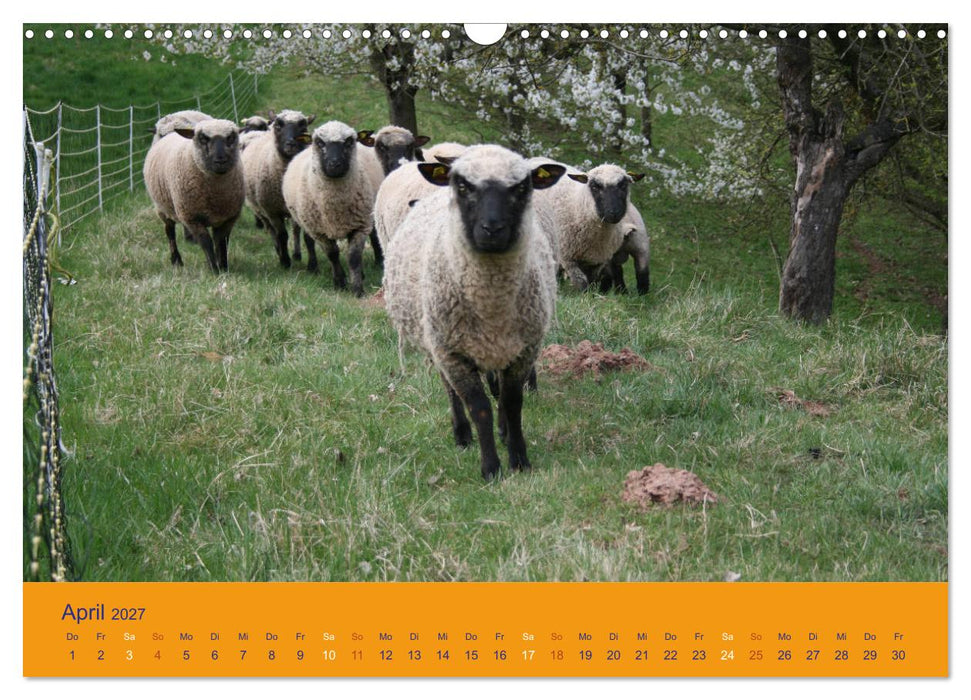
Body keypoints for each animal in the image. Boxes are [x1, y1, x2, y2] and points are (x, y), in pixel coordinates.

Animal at [143, 119, 245, 272]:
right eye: (202, 138)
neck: (216, 194)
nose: (221, 160)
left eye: (231, 137)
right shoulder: (192, 218)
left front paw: (223, 268)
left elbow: (221, 243)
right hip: (163, 207)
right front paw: (214, 270)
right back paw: (176, 260)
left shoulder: (228, 218)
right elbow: (206, 243)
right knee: (169, 231)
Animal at [240, 109, 317, 270]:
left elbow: (307, 237)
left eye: (303, 126)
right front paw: (285, 261)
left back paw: (297, 254)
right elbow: (282, 235)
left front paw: (312, 265)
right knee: (272, 231)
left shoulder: (304, 209)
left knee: (295, 229)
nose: (291, 143)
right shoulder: (272, 211)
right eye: (278, 125)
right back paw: (279, 252)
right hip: (260, 209)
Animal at [282, 120, 375, 297]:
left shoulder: (361, 225)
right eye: (320, 142)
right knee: (309, 241)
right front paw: (339, 282)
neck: (335, 207)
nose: (335, 164)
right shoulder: (319, 231)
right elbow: (332, 254)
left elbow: (354, 257)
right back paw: (314, 267)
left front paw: (357, 289)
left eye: (349, 142)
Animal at [383, 145, 566, 480]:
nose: (492, 229)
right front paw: (491, 468)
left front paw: (519, 460)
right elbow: (478, 406)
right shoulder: (452, 352)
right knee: (451, 391)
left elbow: (512, 402)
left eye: (522, 187)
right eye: (463, 185)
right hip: (436, 342)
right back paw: (462, 435)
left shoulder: (523, 349)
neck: (491, 302)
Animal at [531, 162, 645, 291]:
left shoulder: (599, 259)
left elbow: (592, 282)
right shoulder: (568, 259)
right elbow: (581, 283)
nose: (614, 213)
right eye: (595, 186)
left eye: (623, 185)